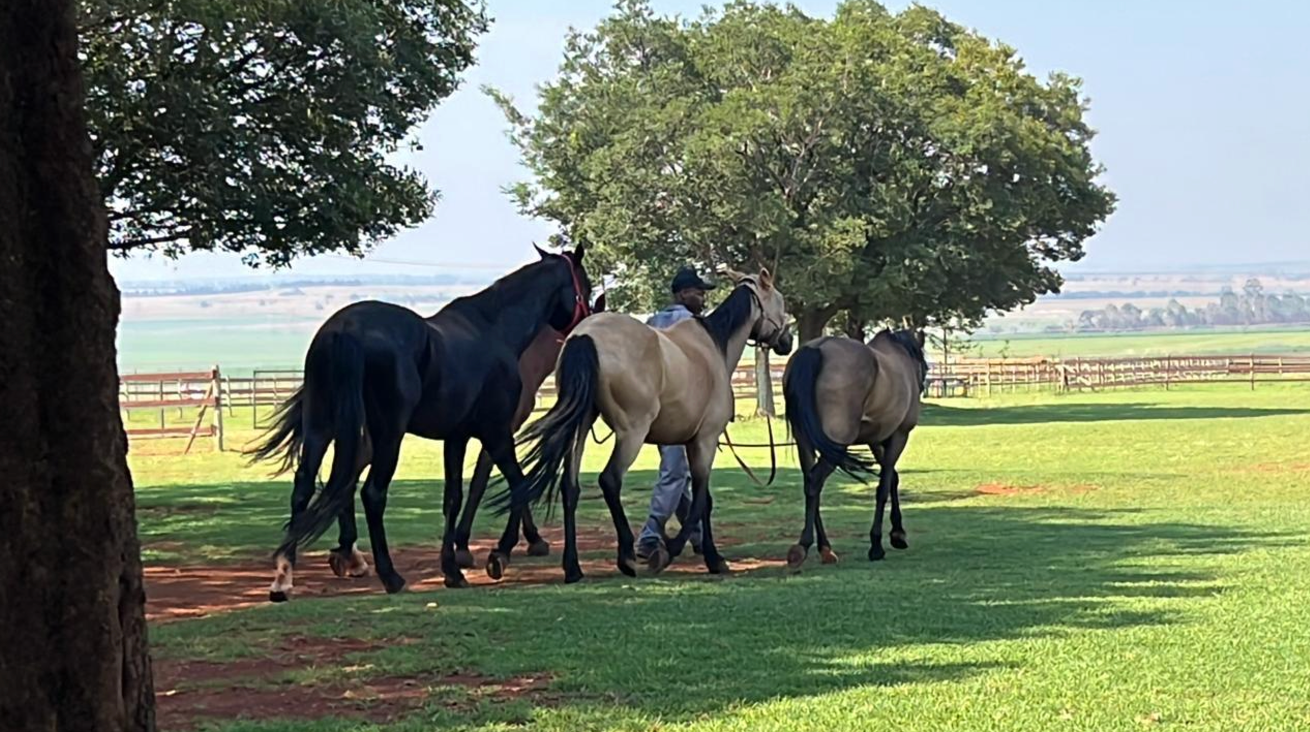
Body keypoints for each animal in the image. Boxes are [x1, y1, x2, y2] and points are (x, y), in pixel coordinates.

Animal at [493, 267, 793, 583]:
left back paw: (573, 567)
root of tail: (585, 336)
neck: (713, 345)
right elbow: (701, 500)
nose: (787, 340)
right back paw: (626, 555)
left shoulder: (687, 443)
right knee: (609, 479)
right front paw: (690, 554)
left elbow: (698, 499)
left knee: (569, 487)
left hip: (581, 426)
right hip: (632, 433)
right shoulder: (705, 440)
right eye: (780, 301)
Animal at [781, 328, 928, 571]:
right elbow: (883, 487)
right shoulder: (899, 436)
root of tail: (817, 349)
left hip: (806, 442)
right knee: (815, 481)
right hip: (835, 444)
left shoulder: (876, 440)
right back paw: (803, 546)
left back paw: (825, 549)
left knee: (810, 484)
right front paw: (877, 545)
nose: (923, 386)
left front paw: (897, 534)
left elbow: (892, 478)